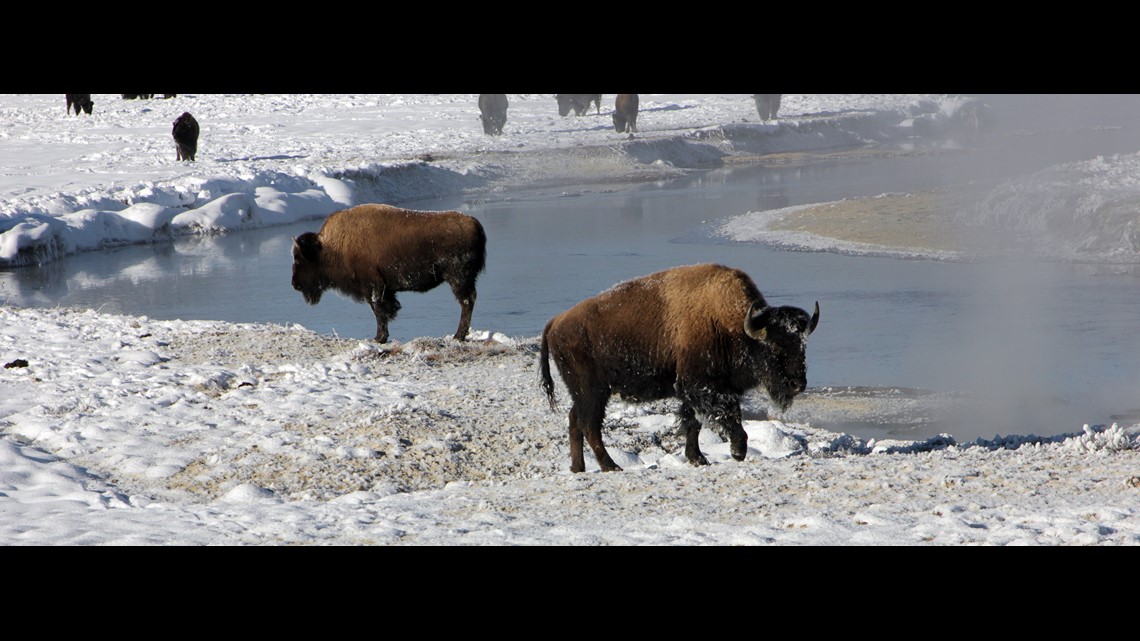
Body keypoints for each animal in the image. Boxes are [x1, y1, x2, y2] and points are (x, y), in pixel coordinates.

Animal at [291, 204, 487, 343]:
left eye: (299, 259)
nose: (294, 284)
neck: (332, 246)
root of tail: (475, 224)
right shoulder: (383, 288)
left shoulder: (373, 287)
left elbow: (378, 310)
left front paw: (379, 338)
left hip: (458, 278)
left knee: (466, 302)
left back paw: (458, 336)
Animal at [540, 263, 819, 473]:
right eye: (775, 347)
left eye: (802, 345)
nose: (798, 384)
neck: (733, 327)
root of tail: (555, 322)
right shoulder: (702, 386)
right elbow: (728, 413)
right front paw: (737, 451)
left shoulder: (694, 390)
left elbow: (693, 422)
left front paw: (698, 458)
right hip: (593, 391)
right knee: (589, 425)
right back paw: (611, 466)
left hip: (584, 392)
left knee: (575, 420)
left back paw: (579, 468)